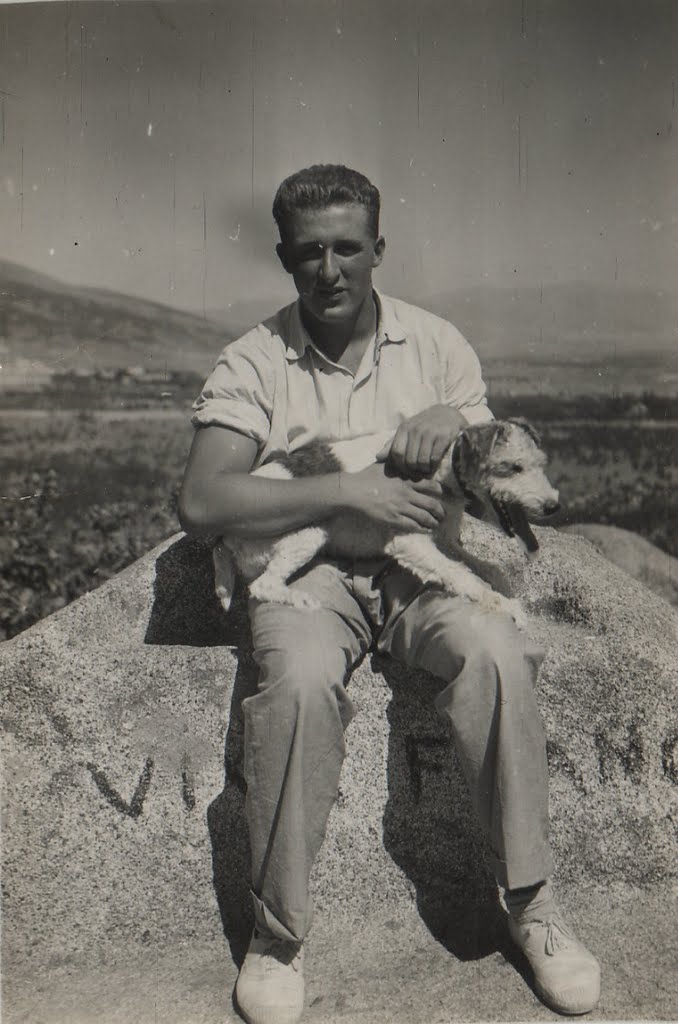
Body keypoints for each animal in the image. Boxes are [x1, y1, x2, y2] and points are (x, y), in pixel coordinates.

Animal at [215, 413, 561, 622]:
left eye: (541, 463)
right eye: (513, 467)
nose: (553, 506)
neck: (444, 468)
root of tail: (222, 538)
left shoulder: (444, 539)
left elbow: (485, 567)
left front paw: (503, 588)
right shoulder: (409, 541)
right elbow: (459, 572)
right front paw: (504, 605)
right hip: (308, 533)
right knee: (263, 585)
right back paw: (298, 598)